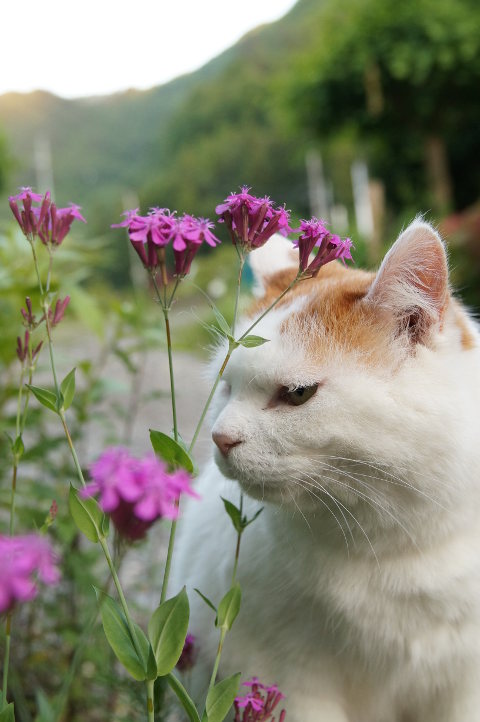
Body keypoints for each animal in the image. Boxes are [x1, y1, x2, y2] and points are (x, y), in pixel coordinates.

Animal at [171, 221, 480, 720]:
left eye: (298, 394)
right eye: (228, 386)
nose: (220, 437)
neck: (391, 548)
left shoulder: (464, 683)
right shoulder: (292, 680)